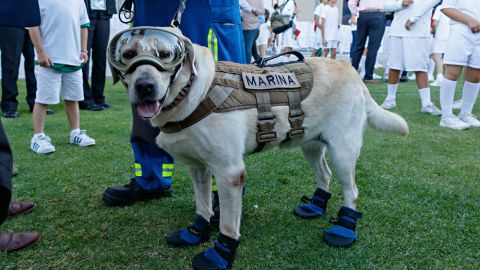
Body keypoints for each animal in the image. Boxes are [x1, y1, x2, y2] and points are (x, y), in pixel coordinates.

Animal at [109, 26, 408, 268]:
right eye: (128, 55)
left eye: (166, 54)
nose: (145, 87)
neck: (192, 93)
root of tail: (352, 71)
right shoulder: (198, 168)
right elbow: (203, 206)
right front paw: (196, 232)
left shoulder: (229, 173)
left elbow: (228, 225)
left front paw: (220, 255)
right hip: (311, 144)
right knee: (325, 174)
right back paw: (315, 206)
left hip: (342, 149)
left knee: (352, 191)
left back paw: (345, 228)